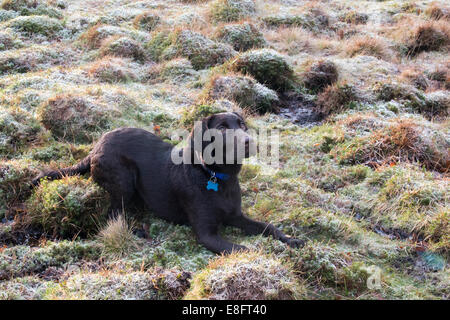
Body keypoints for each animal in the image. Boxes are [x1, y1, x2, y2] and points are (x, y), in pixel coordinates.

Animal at [32, 112, 306, 255]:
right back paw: (137, 230)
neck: (215, 177)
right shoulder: (207, 234)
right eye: (221, 128)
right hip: (124, 179)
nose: (250, 142)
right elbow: (241, 248)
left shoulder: (236, 216)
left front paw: (291, 240)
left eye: (242, 125)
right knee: (113, 215)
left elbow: (269, 227)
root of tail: (95, 148)